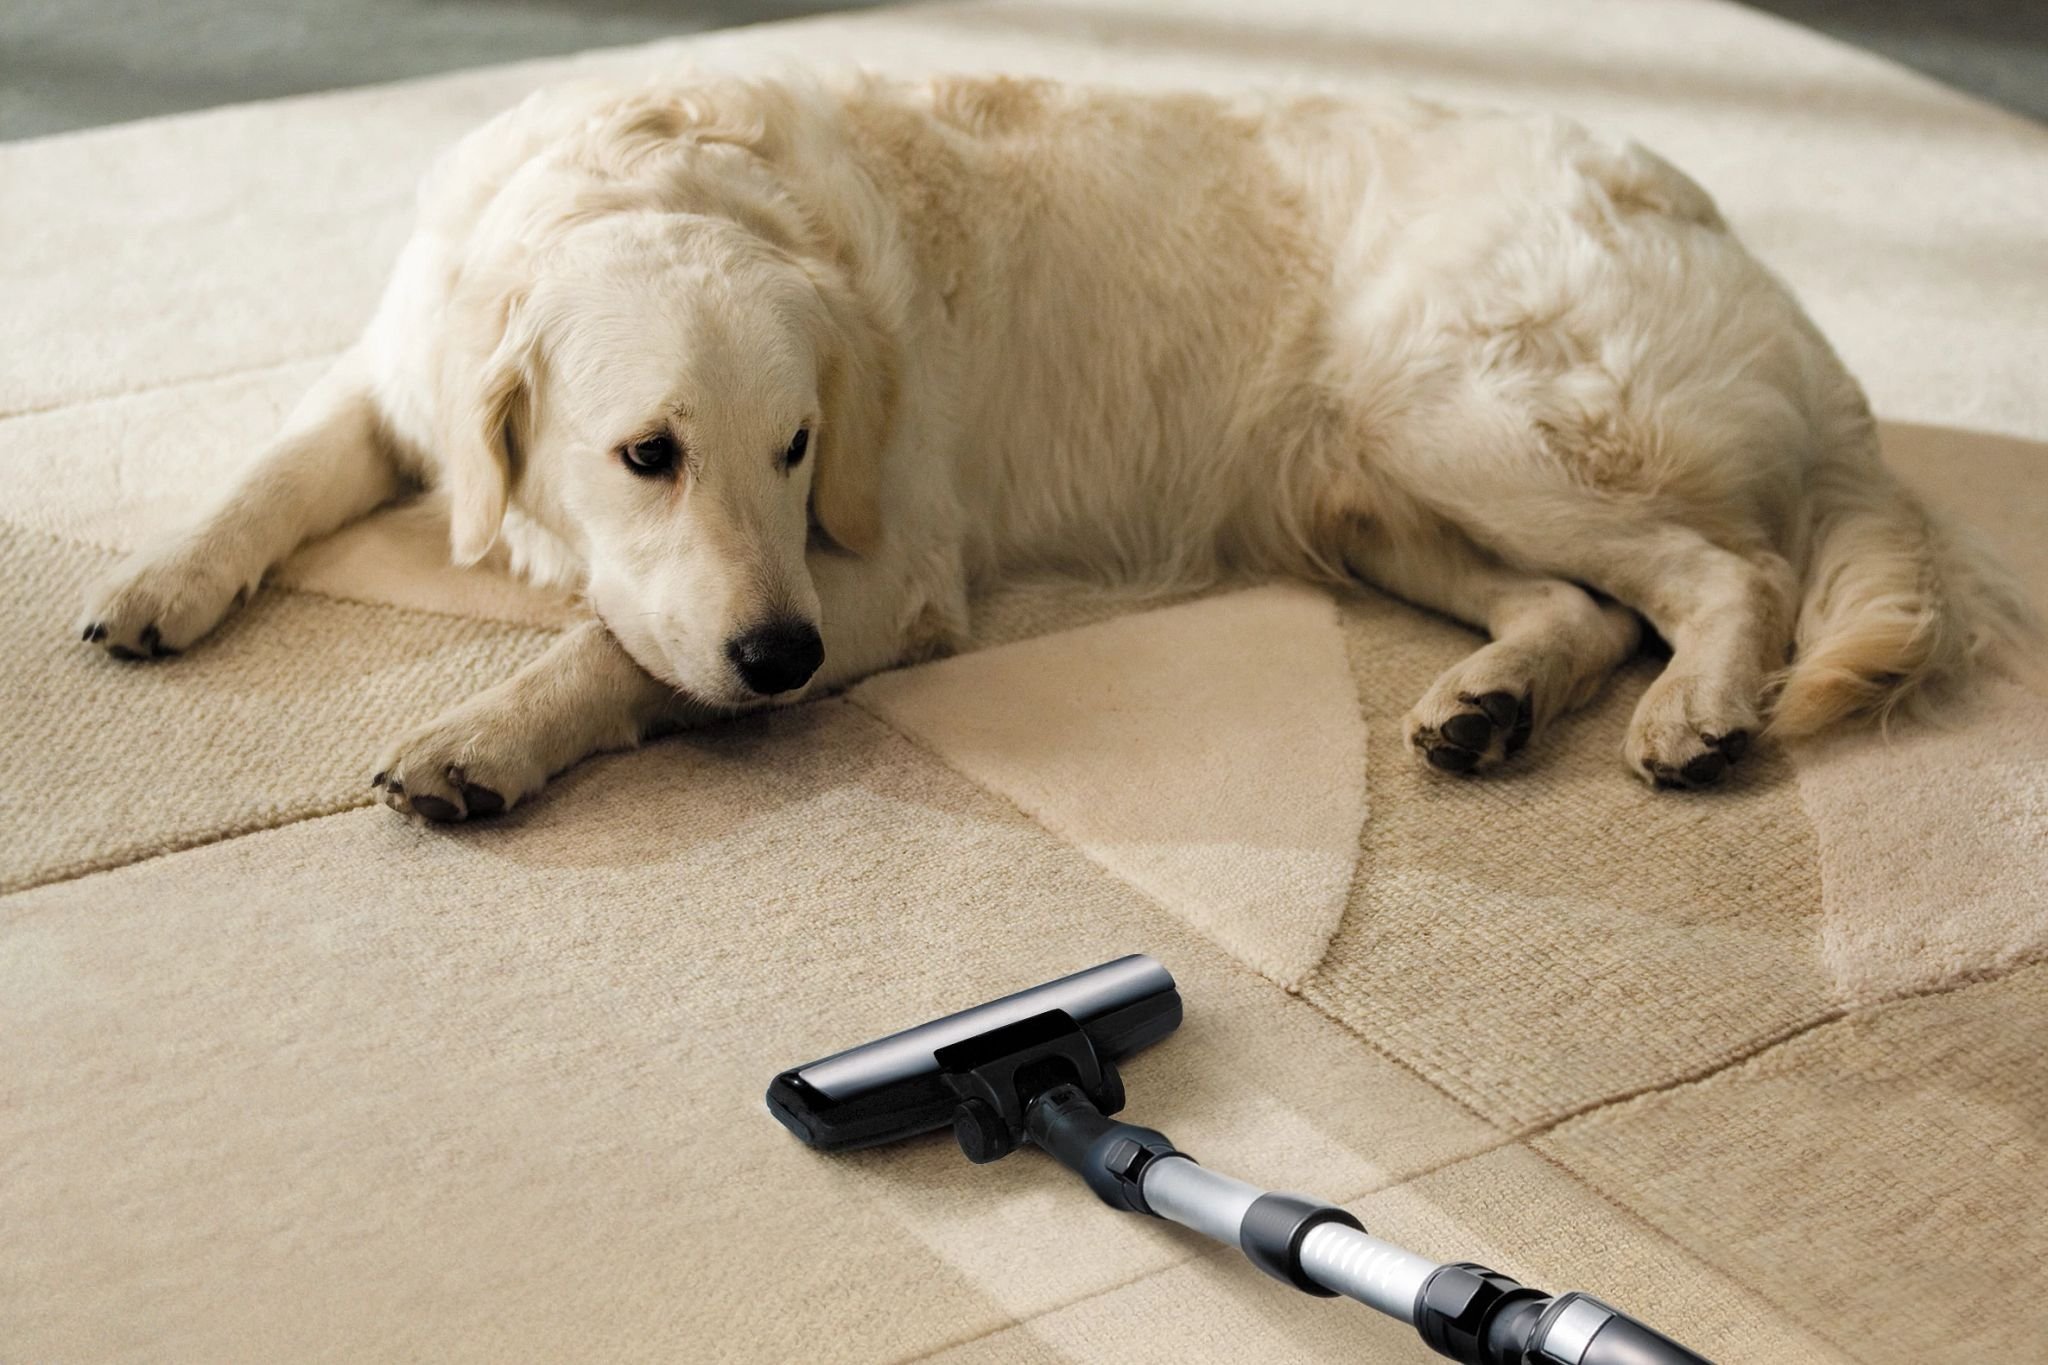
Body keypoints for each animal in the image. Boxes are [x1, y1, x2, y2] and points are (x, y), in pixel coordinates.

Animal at [75, 74, 2031, 822]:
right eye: (647, 453)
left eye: (800, 450)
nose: (778, 660)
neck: (639, 176)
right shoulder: (397, 370)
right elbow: (265, 473)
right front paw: (156, 583)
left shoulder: (887, 574)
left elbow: (611, 654)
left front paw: (482, 739)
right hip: (1364, 483)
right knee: (1583, 602)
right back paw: (1489, 706)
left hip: (1462, 411)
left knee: (1722, 566)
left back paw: (1697, 710)